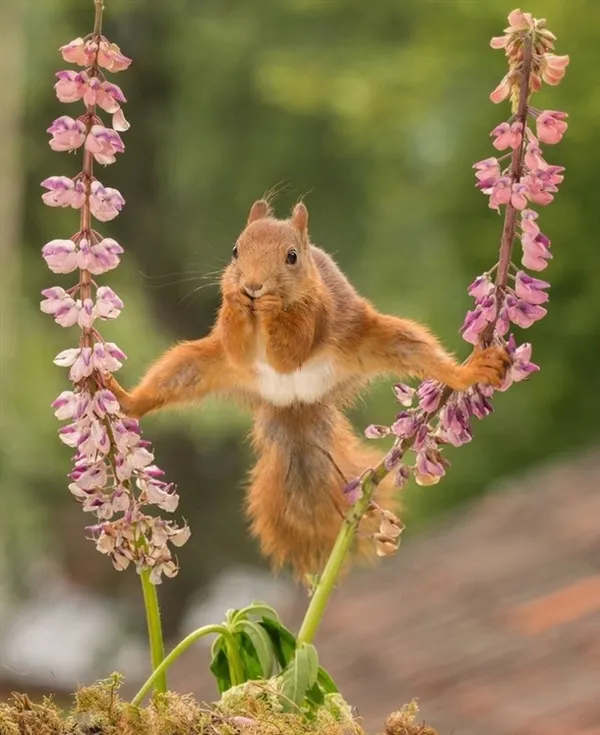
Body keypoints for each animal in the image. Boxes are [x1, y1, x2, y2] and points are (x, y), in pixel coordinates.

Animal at [105, 200, 508, 580]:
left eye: (292, 257)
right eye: (235, 250)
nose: (253, 287)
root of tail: (295, 402)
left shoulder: (318, 312)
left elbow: (291, 349)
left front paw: (270, 307)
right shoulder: (233, 350)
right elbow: (237, 345)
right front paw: (236, 300)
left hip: (379, 339)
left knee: (418, 351)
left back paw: (468, 371)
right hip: (197, 365)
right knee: (171, 378)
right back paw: (125, 400)